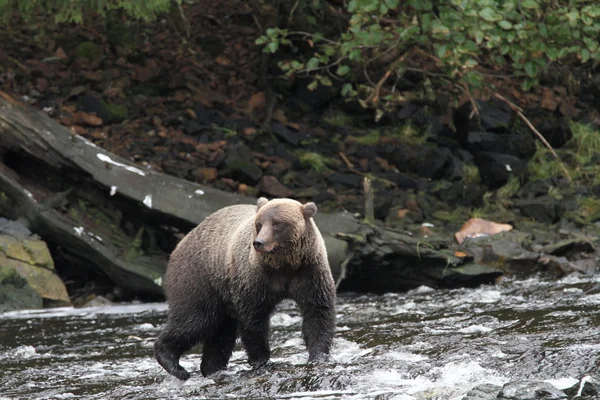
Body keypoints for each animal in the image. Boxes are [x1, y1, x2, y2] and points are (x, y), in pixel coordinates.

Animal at [155, 197, 336, 382]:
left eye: (277, 223)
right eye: (259, 224)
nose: (259, 243)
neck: (284, 264)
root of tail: (181, 243)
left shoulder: (309, 273)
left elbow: (317, 312)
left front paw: (319, 356)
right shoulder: (255, 278)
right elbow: (253, 319)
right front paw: (261, 360)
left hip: (220, 293)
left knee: (220, 334)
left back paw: (213, 368)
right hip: (198, 279)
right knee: (195, 320)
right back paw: (173, 364)